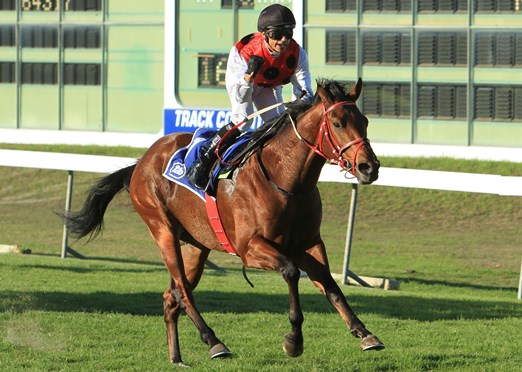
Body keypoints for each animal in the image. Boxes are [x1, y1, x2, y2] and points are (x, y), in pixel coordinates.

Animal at [64, 77, 382, 364]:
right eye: (338, 123)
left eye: (365, 121)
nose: (369, 167)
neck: (285, 180)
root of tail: (141, 162)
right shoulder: (250, 248)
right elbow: (291, 272)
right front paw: (294, 340)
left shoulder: (309, 244)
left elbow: (331, 285)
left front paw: (365, 333)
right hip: (162, 229)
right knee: (182, 291)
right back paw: (214, 342)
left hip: (195, 246)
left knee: (171, 295)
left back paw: (176, 357)